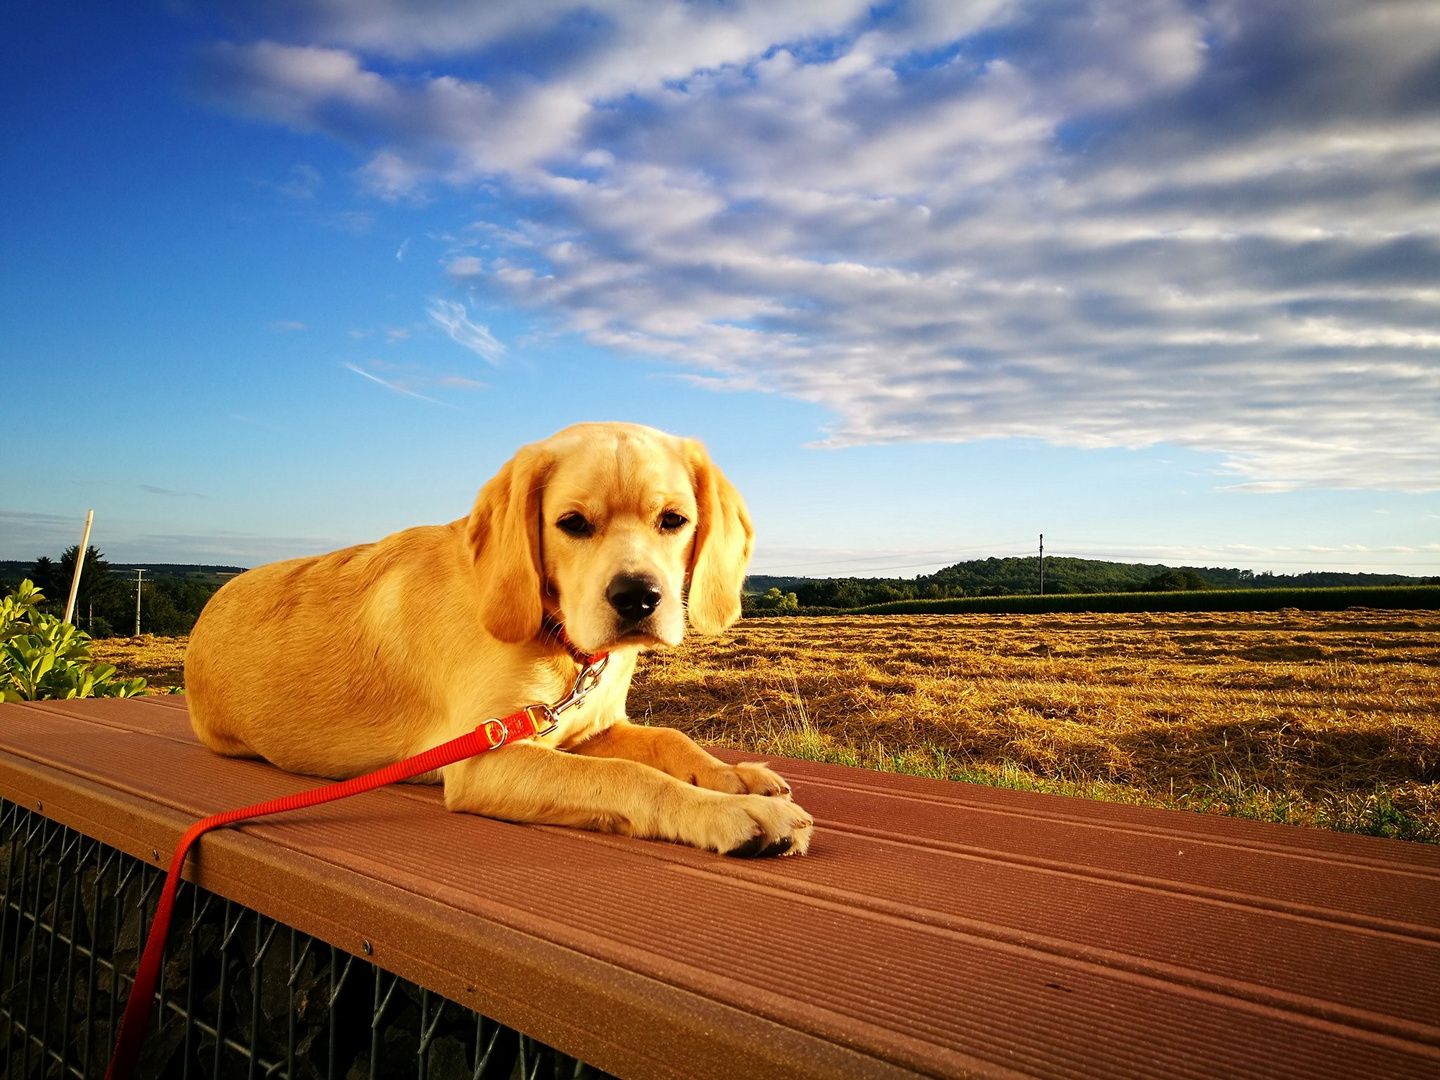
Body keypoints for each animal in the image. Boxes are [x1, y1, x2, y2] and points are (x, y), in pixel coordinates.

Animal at [184, 426, 812, 864]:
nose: (638, 598)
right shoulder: (486, 757)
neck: (562, 645)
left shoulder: (591, 728)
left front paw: (736, 775)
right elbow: (628, 777)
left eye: (674, 520)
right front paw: (735, 812)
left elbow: (669, 739)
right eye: (572, 523)